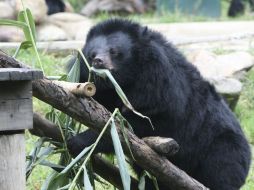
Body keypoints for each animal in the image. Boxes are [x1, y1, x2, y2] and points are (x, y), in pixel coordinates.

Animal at [66, 18, 251, 190]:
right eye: (91, 54)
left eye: (114, 52)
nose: (98, 61)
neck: (127, 79)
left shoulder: (160, 88)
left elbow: (140, 125)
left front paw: (78, 141)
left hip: (221, 149)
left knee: (220, 173)